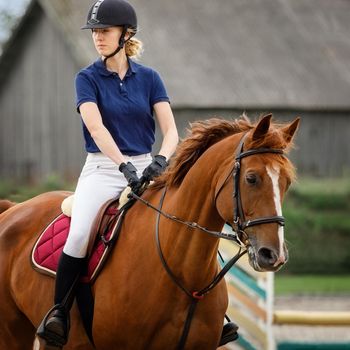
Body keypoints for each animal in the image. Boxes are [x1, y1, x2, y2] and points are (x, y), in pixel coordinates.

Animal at [0, 113, 298, 348]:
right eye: (251, 178)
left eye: (286, 182)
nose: (273, 255)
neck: (183, 273)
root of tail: (13, 209)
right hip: (13, 334)